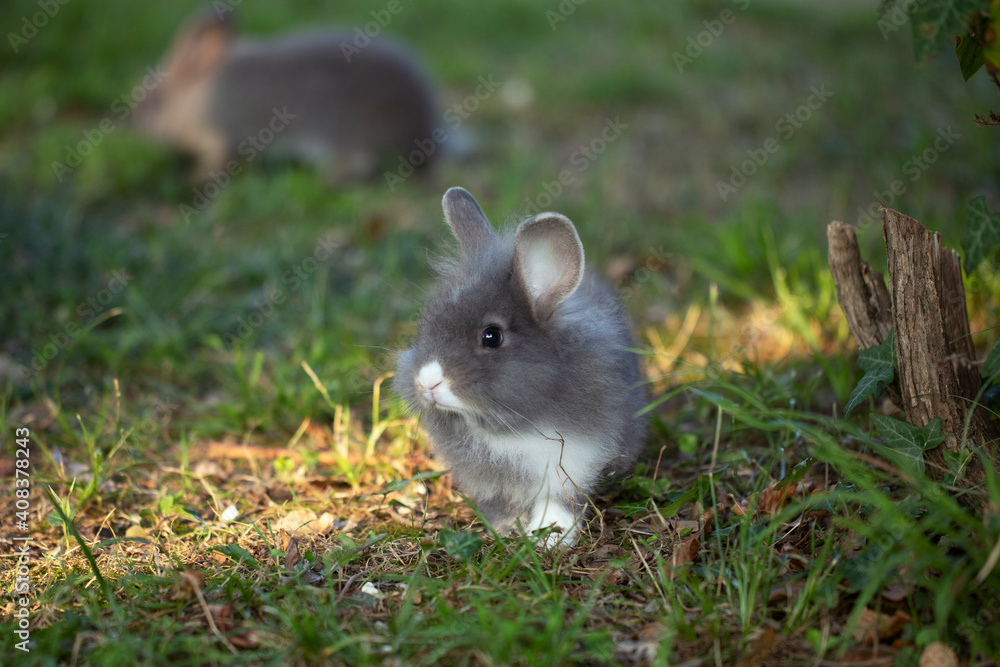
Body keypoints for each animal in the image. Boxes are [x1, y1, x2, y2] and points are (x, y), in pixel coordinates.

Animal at [132, 11, 439, 184]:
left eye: (152, 103)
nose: (129, 123)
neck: (192, 98)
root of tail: (425, 131)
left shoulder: (223, 137)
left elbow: (218, 162)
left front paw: (192, 177)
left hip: (348, 138)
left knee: (363, 164)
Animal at [395, 187, 647, 545]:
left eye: (491, 336)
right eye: (425, 323)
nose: (427, 382)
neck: (511, 427)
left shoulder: (574, 462)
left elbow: (560, 502)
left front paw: (550, 538)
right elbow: (501, 504)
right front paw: (506, 530)